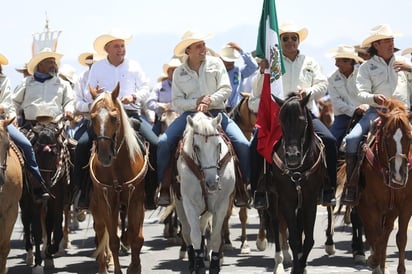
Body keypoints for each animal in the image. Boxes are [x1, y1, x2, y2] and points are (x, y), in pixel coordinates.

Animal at [89, 84, 149, 274]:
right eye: (92, 118)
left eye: (114, 118)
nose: (104, 156)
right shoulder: (108, 202)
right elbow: (113, 241)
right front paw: (117, 269)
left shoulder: (136, 200)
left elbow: (137, 237)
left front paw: (135, 267)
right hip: (97, 207)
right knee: (101, 234)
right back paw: (103, 266)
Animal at [175, 112, 237, 272]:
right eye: (196, 147)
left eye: (218, 144)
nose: (212, 183)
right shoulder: (189, 204)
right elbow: (195, 236)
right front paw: (198, 266)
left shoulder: (221, 205)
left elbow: (215, 237)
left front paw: (214, 264)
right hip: (179, 204)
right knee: (187, 231)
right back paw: (194, 260)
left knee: (203, 226)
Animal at [268, 93, 332, 272]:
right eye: (281, 121)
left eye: (302, 121)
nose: (292, 156)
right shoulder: (287, 201)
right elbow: (294, 239)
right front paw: (296, 267)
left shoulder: (309, 200)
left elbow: (308, 239)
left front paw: (301, 266)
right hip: (273, 198)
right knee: (276, 223)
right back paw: (279, 262)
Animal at [358, 99, 412, 274]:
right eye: (387, 138)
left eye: (409, 137)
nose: (399, 173)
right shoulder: (370, 205)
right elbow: (377, 238)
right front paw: (373, 261)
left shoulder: (405, 204)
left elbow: (400, 238)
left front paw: (401, 269)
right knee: (373, 234)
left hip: (390, 210)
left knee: (386, 232)